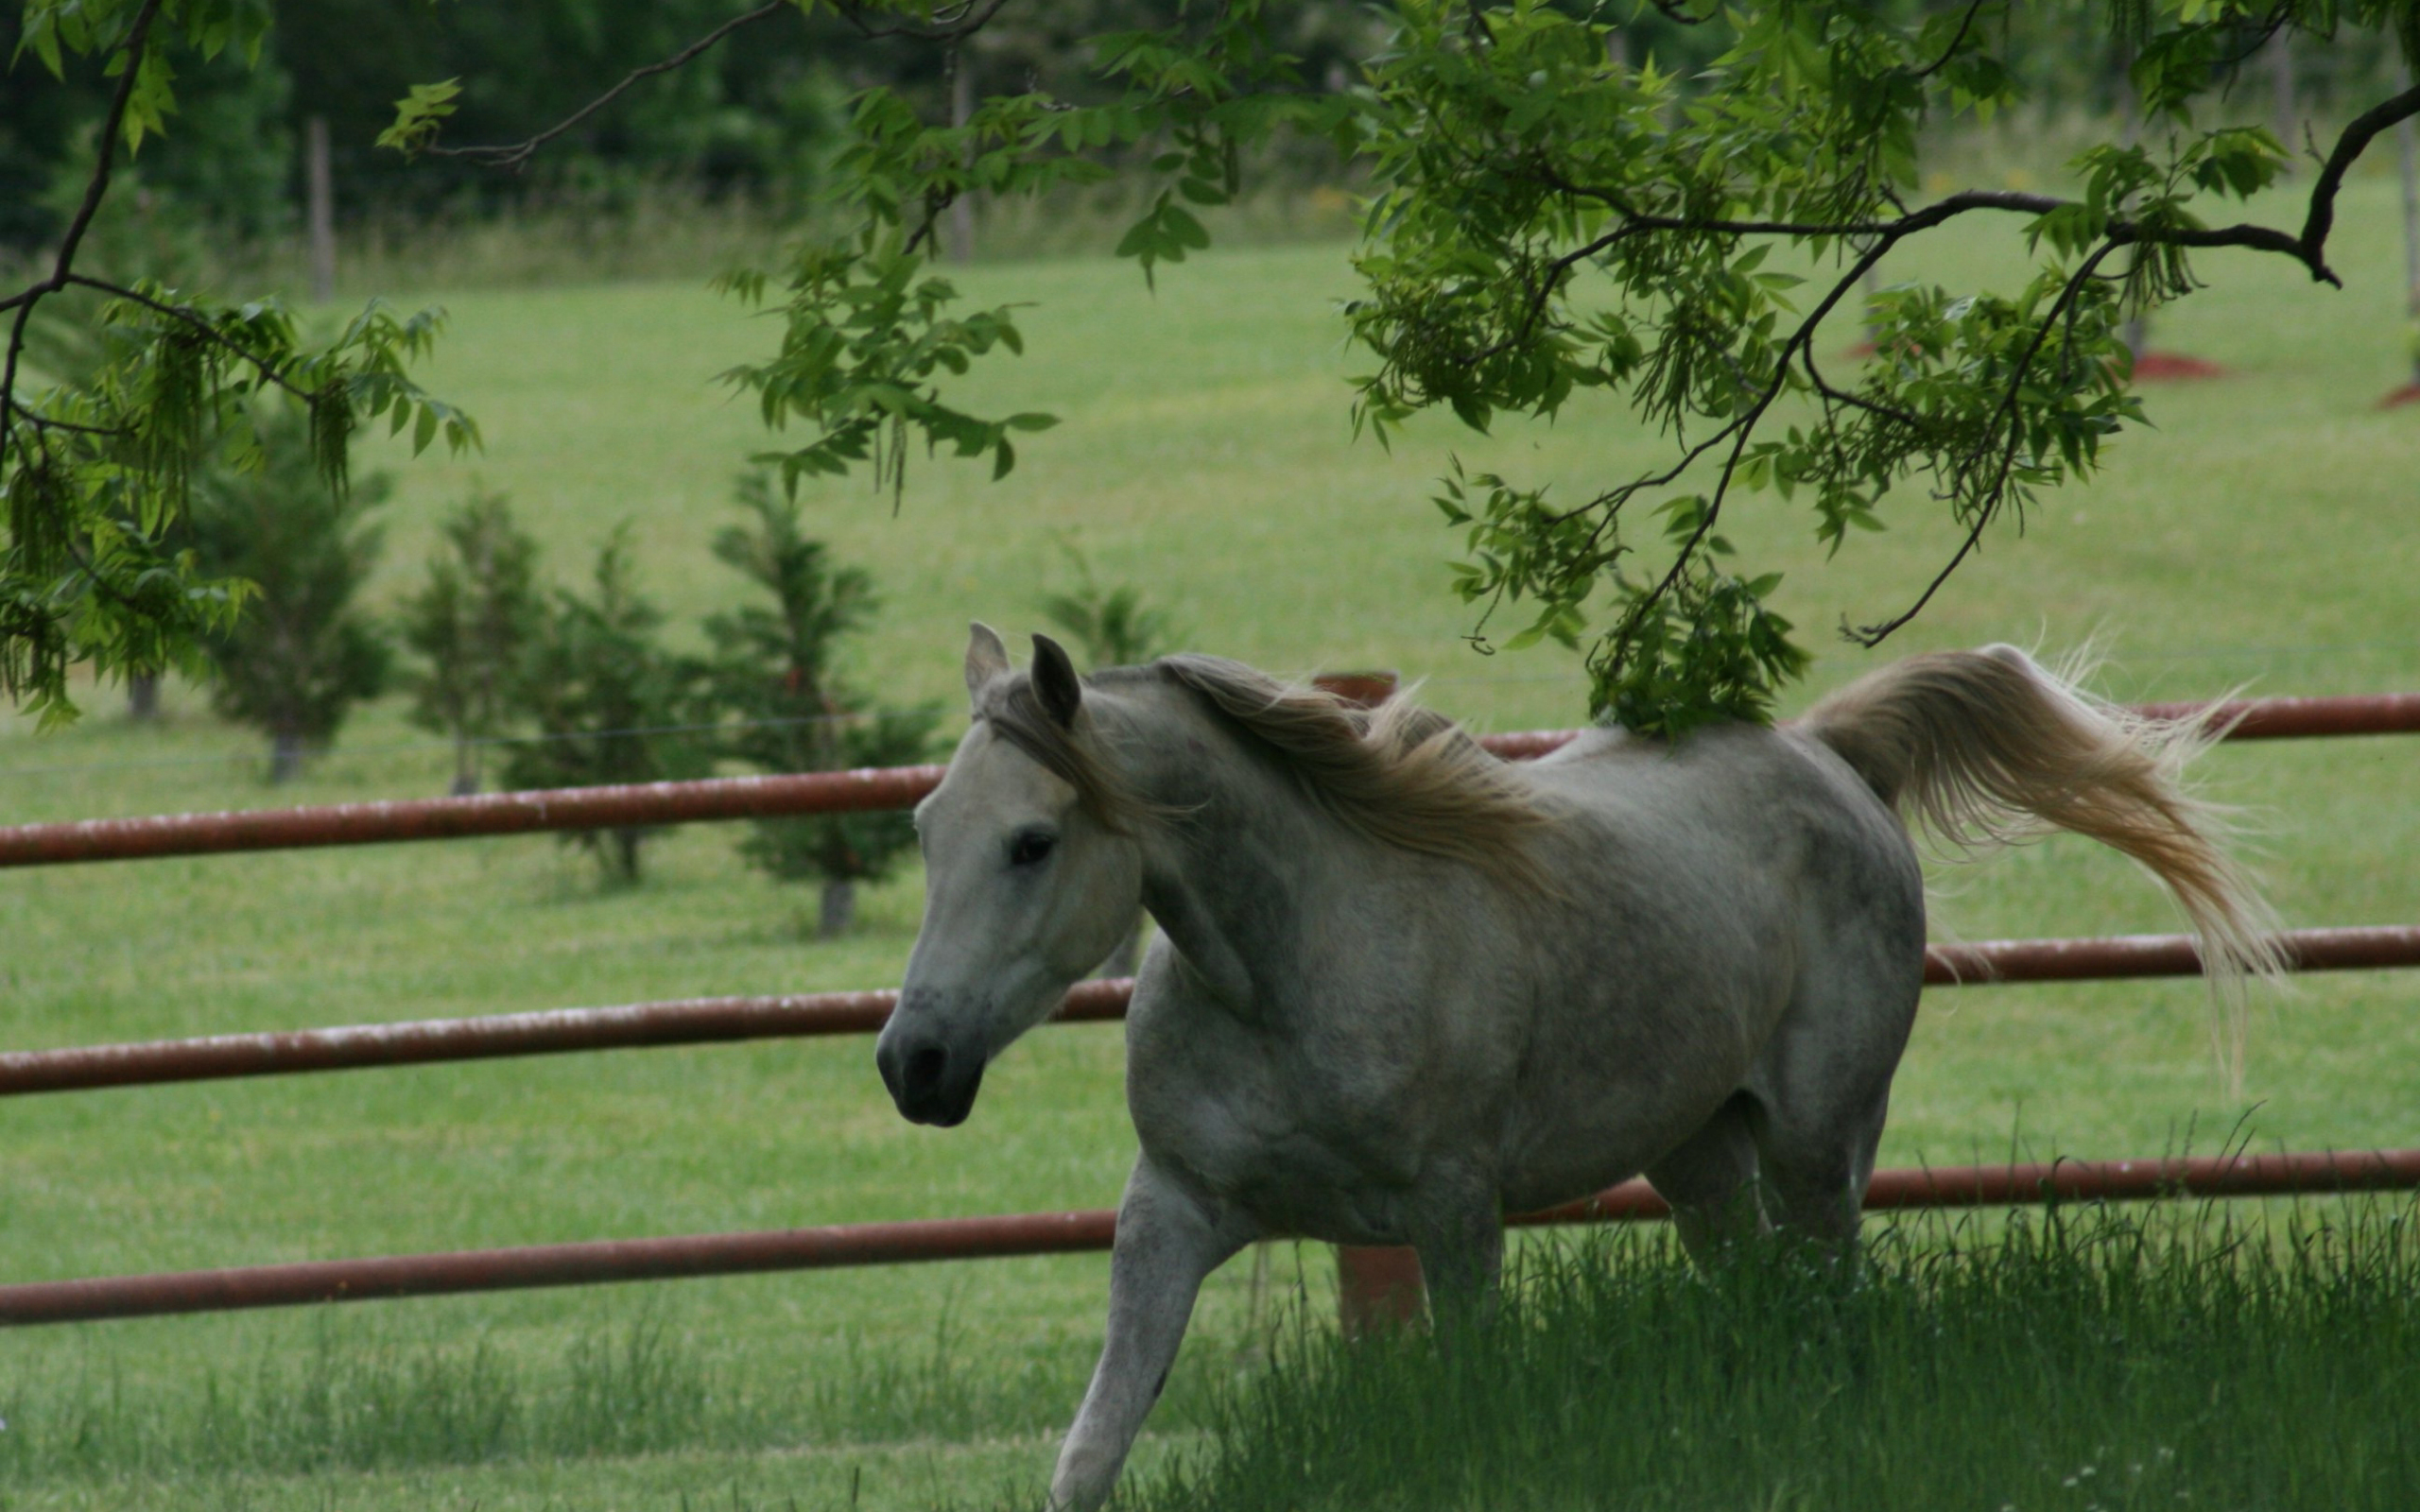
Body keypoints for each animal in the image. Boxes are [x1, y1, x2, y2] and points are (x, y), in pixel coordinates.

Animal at [880, 619, 2274, 1500]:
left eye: (1032, 841)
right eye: (924, 826)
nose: (913, 1063)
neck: (1292, 967)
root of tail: (1826, 750)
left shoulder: (1453, 1213)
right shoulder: (1170, 1210)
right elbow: (1090, 1451)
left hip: (1819, 1146)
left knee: (1833, 1311)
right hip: (1700, 1159)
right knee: (1760, 1305)